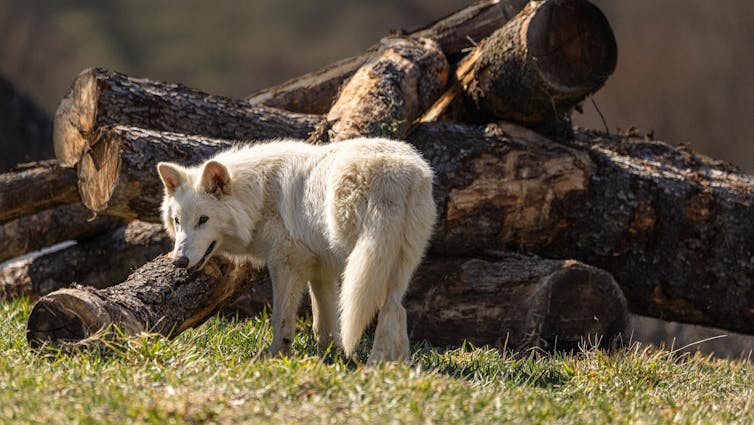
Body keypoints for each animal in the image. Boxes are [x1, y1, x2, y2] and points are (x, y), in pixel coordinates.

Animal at [157, 137, 436, 364]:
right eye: (178, 221)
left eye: (203, 220)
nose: (179, 261)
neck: (258, 198)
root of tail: (396, 174)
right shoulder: (321, 273)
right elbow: (323, 325)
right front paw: (328, 359)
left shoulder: (287, 265)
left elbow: (281, 320)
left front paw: (274, 357)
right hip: (393, 267)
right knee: (396, 310)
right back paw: (395, 367)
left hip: (361, 265)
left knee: (386, 311)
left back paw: (374, 367)